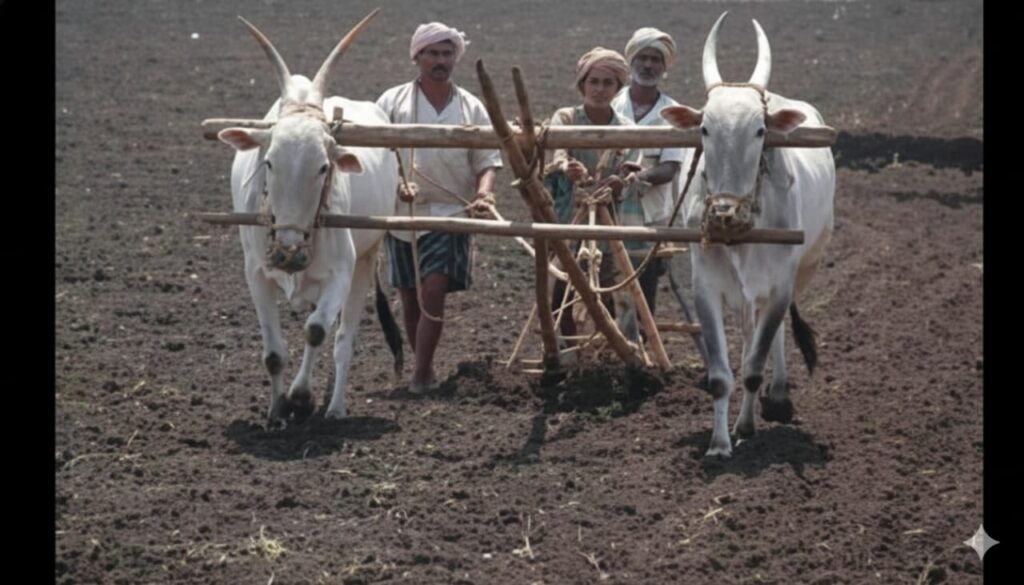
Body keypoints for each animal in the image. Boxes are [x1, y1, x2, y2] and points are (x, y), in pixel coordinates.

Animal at [217, 11, 402, 427]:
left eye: (323, 166)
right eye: (269, 162)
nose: (288, 252)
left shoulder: (342, 272)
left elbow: (317, 331)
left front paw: (301, 397)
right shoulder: (255, 273)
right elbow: (273, 354)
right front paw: (276, 411)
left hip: (367, 259)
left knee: (342, 338)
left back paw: (335, 406)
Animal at [660, 12, 836, 458]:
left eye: (759, 131)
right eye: (704, 128)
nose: (723, 213)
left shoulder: (780, 285)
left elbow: (756, 364)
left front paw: (746, 426)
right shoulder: (706, 286)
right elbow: (722, 375)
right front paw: (720, 444)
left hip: (803, 269)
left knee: (771, 338)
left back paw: (778, 397)